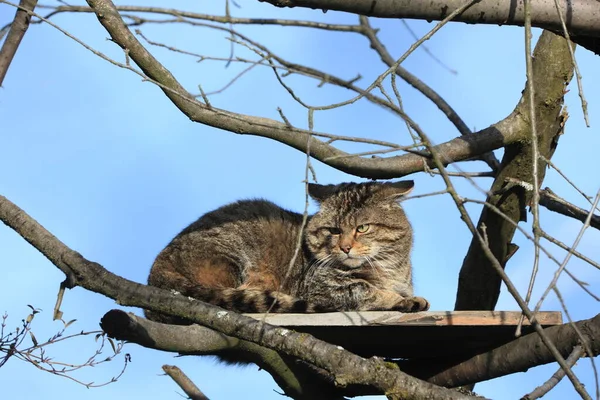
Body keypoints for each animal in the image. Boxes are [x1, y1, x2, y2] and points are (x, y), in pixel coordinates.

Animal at [149, 180, 432, 322]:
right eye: (334, 230)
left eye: (362, 228)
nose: (345, 247)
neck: (387, 266)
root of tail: (155, 268)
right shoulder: (323, 288)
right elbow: (366, 290)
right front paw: (401, 300)